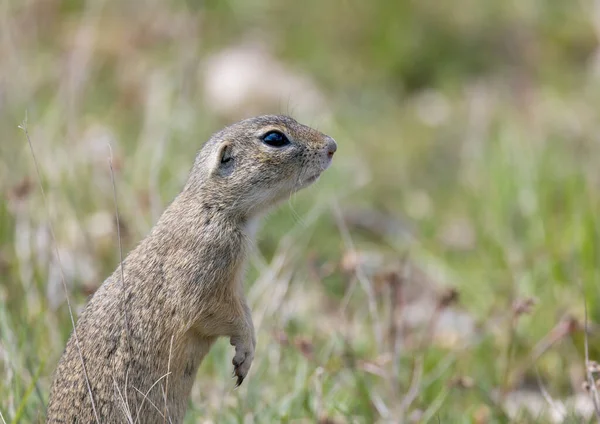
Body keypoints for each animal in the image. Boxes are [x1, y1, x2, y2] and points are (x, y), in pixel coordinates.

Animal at [45, 114, 338, 422]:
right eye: (274, 138)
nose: (332, 146)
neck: (212, 207)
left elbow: (244, 310)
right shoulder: (203, 274)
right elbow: (219, 314)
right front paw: (244, 351)